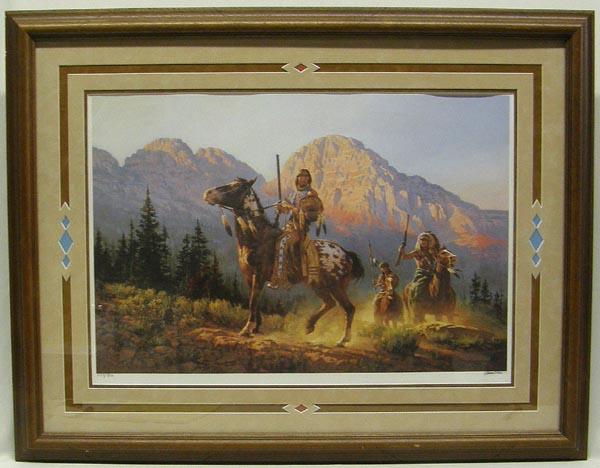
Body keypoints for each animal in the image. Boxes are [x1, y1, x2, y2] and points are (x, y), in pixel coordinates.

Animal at [203, 177, 364, 346]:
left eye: (236, 186)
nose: (207, 193)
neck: (257, 237)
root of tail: (346, 253)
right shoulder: (248, 275)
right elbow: (254, 299)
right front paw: (255, 328)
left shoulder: (259, 275)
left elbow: (253, 301)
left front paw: (246, 329)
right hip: (319, 285)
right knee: (330, 303)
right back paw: (310, 325)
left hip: (335, 286)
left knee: (349, 308)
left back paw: (342, 340)